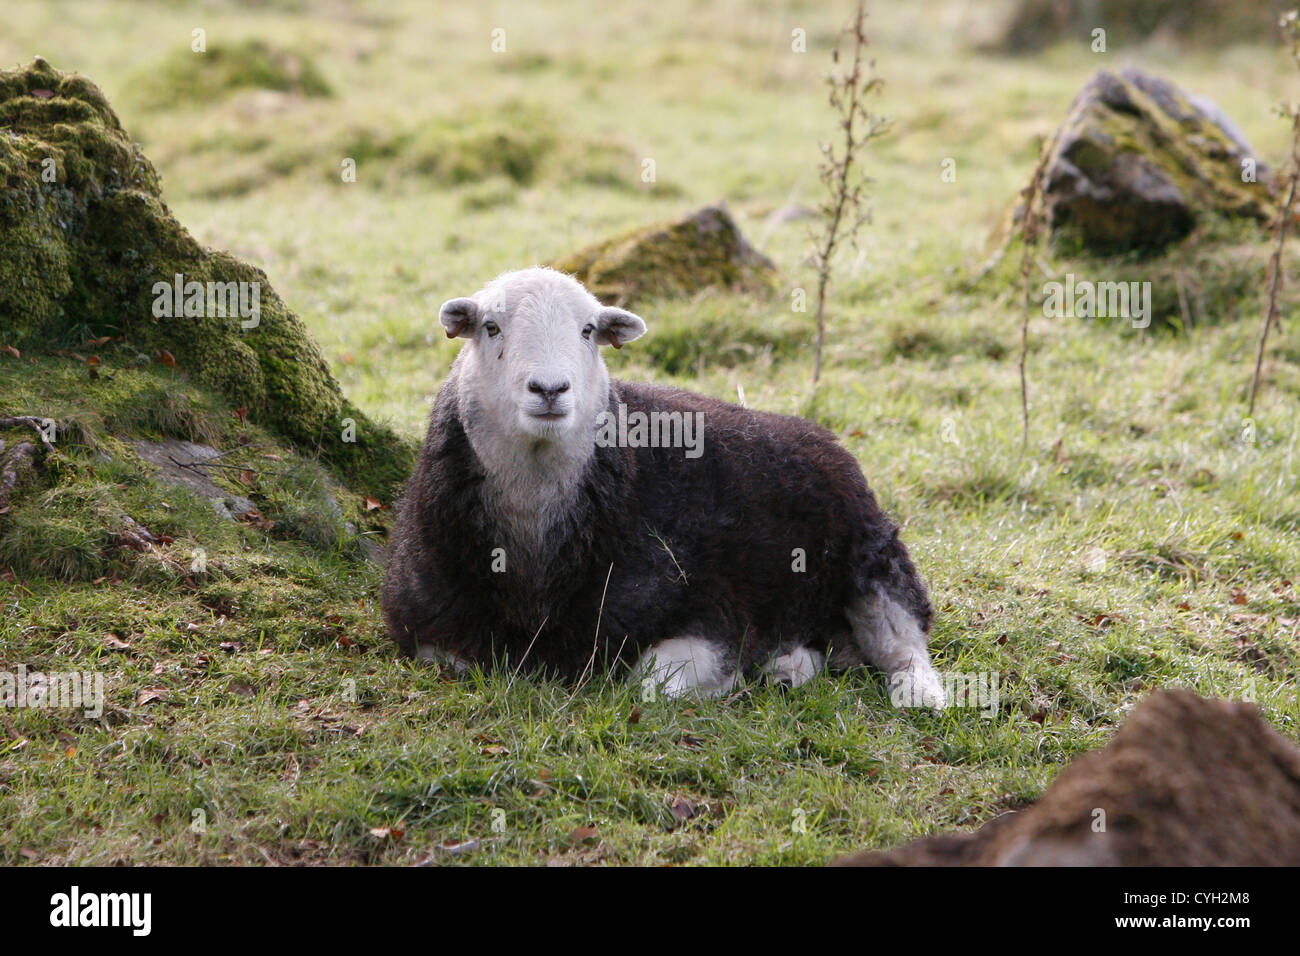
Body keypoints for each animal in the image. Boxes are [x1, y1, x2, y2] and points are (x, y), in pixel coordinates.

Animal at [382, 265, 946, 707]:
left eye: (588, 331)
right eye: (491, 327)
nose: (549, 389)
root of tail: (820, 434)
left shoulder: (711, 613)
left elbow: (654, 686)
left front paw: (727, 681)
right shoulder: (426, 629)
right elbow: (455, 660)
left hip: (868, 555)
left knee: (903, 637)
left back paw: (921, 694)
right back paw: (790, 666)